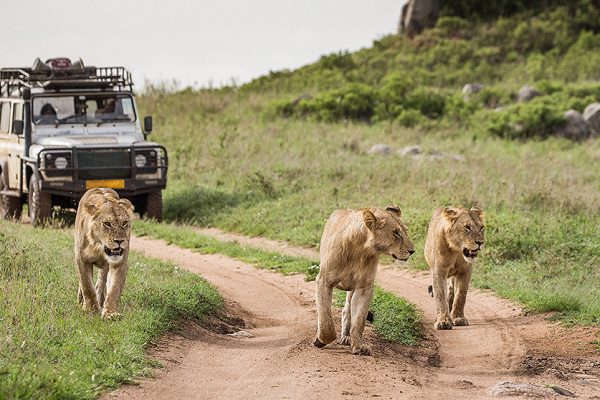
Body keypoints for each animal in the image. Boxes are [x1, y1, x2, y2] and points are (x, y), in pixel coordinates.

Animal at [74, 188, 134, 318]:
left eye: (124, 223)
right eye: (107, 223)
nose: (119, 241)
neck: (99, 247)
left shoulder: (120, 262)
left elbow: (115, 288)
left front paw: (110, 313)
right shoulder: (81, 259)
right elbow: (87, 286)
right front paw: (91, 310)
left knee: (101, 282)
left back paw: (100, 300)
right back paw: (82, 300)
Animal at [312, 205, 414, 354]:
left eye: (405, 231)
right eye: (396, 233)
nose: (413, 251)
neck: (361, 250)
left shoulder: (364, 287)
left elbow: (359, 321)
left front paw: (359, 347)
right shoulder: (324, 280)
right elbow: (326, 319)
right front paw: (320, 340)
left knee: (347, 310)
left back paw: (346, 337)